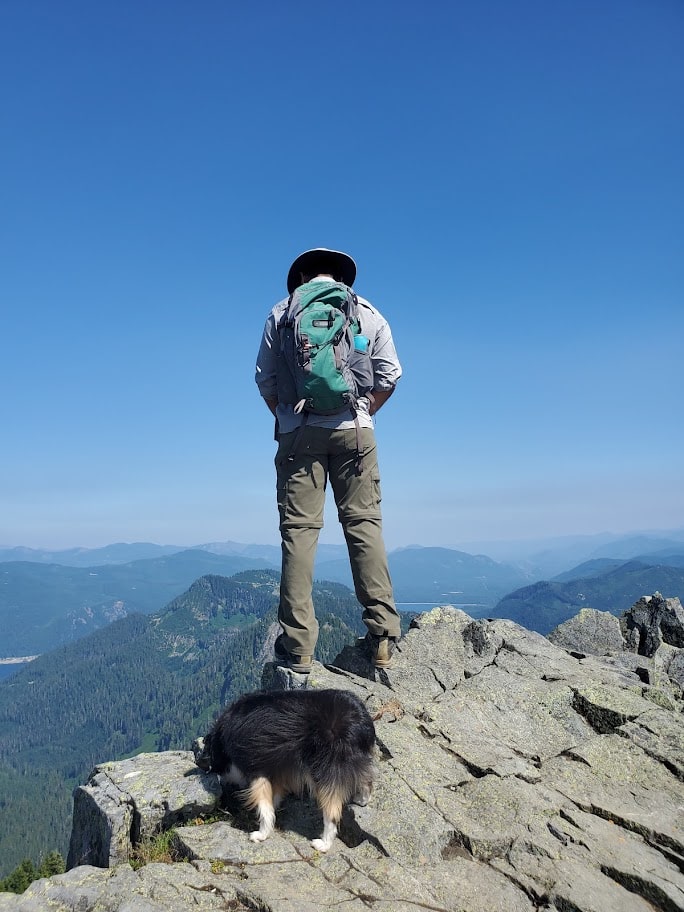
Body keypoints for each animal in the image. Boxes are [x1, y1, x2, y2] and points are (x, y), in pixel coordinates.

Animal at [192, 688, 374, 852]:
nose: (221, 781)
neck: (222, 736)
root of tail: (361, 719)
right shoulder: (278, 769)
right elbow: (274, 797)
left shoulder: (257, 768)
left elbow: (264, 806)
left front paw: (261, 834)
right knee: (366, 779)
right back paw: (361, 799)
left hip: (324, 768)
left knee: (332, 810)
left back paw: (324, 844)